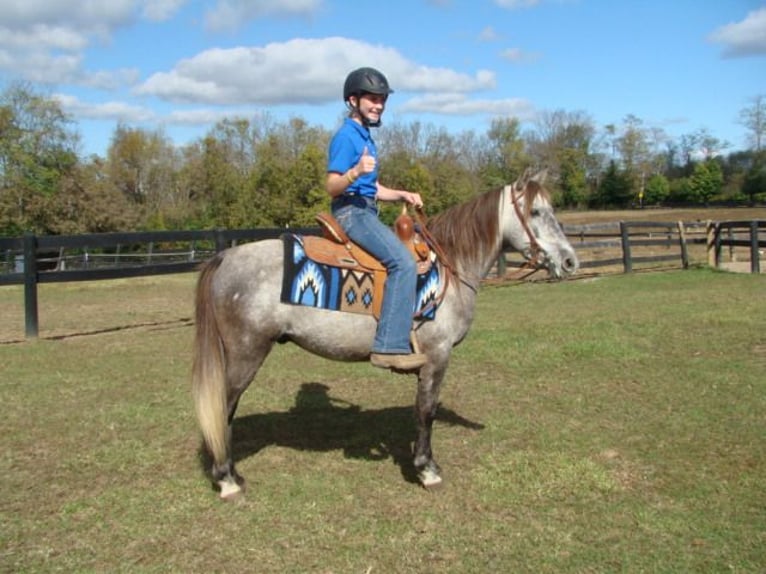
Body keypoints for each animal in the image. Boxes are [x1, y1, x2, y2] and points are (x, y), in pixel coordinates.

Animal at [194, 170, 584, 500]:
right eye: (535, 212)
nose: (570, 262)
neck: (450, 267)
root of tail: (225, 257)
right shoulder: (437, 356)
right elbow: (426, 411)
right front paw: (427, 470)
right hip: (247, 353)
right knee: (224, 407)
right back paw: (227, 481)